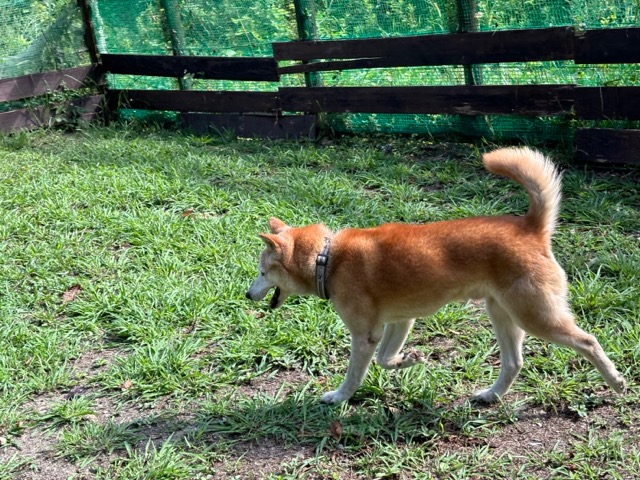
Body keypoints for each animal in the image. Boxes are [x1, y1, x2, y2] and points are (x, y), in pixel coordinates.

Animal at [246, 147, 626, 404]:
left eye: (262, 272)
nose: (248, 295)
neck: (328, 258)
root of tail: (531, 227)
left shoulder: (364, 335)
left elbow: (355, 374)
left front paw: (338, 397)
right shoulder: (399, 322)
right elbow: (385, 359)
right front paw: (408, 360)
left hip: (535, 315)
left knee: (587, 341)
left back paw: (616, 381)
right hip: (502, 314)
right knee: (514, 363)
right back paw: (490, 395)